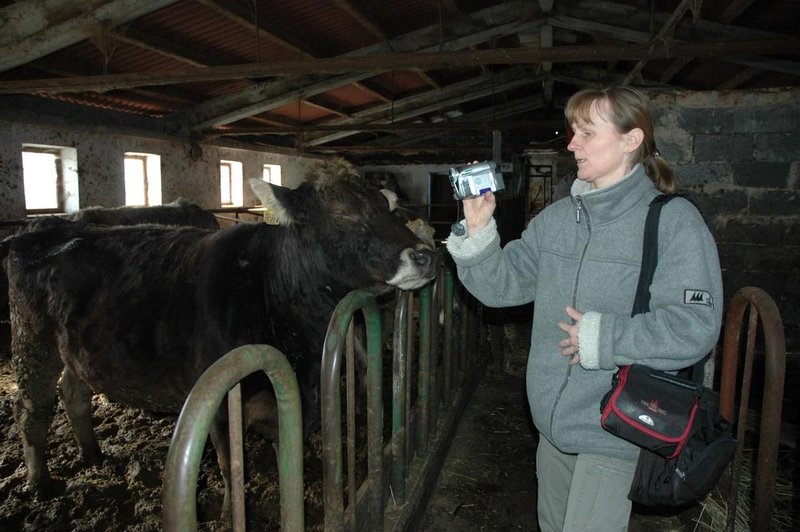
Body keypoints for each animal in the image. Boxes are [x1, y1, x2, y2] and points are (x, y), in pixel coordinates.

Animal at [1, 158, 438, 516]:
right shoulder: (223, 402)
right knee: (30, 408)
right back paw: (40, 483)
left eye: (386, 205)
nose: (425, 255)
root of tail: (40, 229)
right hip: (32, 342)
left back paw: (91, 454)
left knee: (73, 391)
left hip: (75, 348)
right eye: (343, 212)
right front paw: (231, 511)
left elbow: (287, 448)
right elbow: (232, 465)